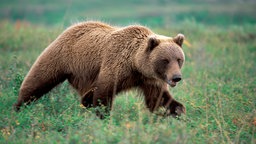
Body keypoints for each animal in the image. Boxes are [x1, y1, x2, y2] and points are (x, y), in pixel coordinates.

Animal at [13, 21, 186, 118]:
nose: (176, 77)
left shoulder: (149, 79)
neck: (135, 64)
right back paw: (18, 107)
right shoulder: (116, 64)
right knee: (38, 80)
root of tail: (72, 27)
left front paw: (177, 110)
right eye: (165, 60)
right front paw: (103, 116)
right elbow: (104, 92)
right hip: (61, 57)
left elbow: (156, 99)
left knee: (87, 95)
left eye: (179, 59)